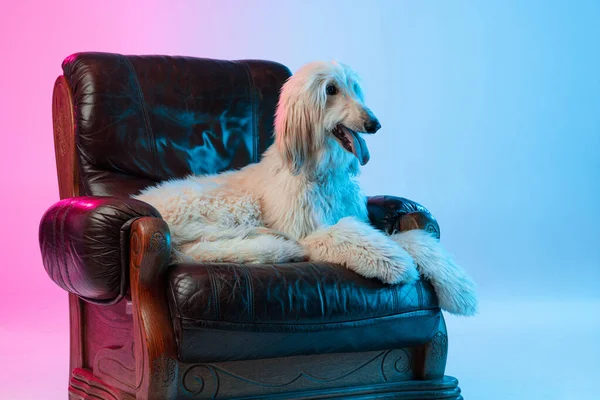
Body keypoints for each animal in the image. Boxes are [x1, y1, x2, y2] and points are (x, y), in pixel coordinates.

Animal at [135, 60, 478, 316]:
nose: (374, 124)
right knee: (200, 250)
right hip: (229, 206)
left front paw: (459, 288)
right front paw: (393, 262)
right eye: (331, 90)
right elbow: (344, 234)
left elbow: (413, 238)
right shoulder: (304, 231)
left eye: (354, 87)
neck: (322, 172)